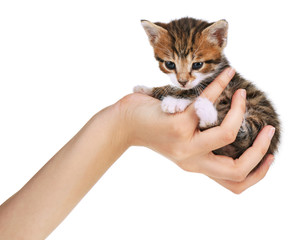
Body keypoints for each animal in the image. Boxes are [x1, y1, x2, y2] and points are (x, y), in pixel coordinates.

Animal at [134, 17, 280, 161]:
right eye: (170, 64)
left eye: (197, 65)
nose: (182, 81)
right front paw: (145, 89)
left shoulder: (224, 85)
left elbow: (192, 90)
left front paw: (174, 101)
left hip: (262, 116)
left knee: (244, 136)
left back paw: (206, 110)